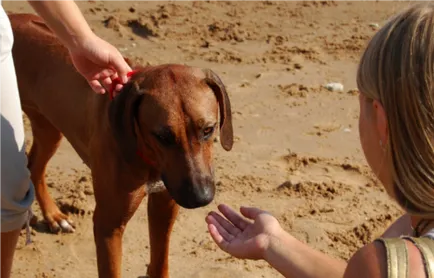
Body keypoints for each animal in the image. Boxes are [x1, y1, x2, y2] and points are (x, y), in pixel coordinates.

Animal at [8, 13, 232, 278]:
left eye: (208, 130)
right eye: (163, 136)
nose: (200, 197)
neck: (146, 154)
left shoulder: (165, 203)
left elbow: (160, 260)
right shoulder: (109, 225)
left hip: (48, 126)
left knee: (35, 166)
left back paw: (53, 216)